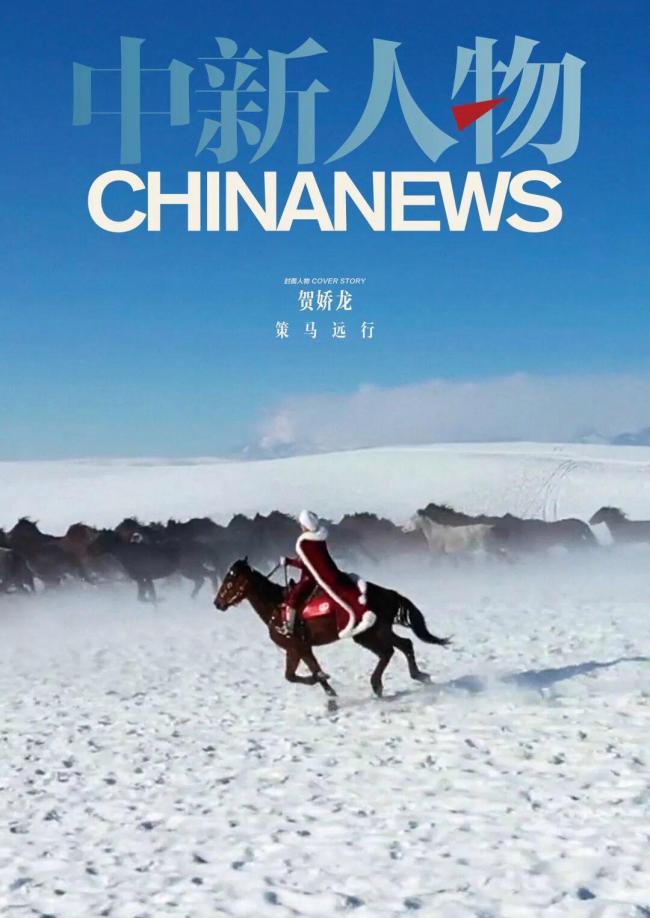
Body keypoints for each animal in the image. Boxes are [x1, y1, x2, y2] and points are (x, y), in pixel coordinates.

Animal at [214, 558, 450, 706]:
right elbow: (296, 674)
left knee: (389, 651)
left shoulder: (298, 647)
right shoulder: (298, 649)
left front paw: (327, 687)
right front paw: (329, 691)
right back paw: (418, 675)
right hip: (374, 632)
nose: (217, 603)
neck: (277, 607)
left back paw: (378, 684)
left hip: (369, 633)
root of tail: (388, 593)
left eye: (230, 580)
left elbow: (304, 673)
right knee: (402, 645)